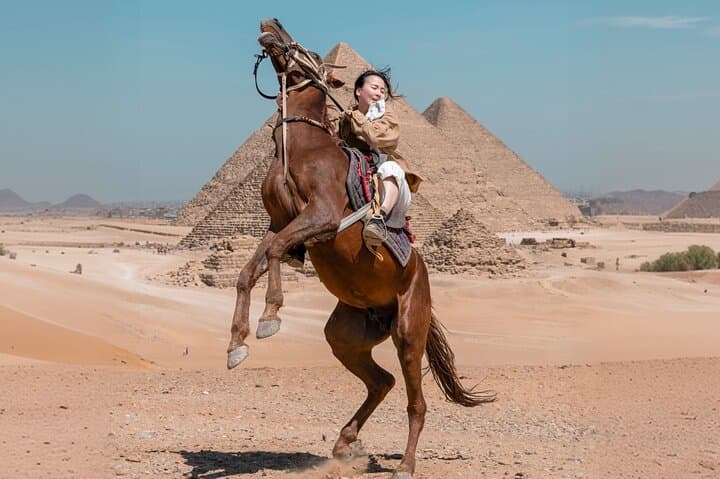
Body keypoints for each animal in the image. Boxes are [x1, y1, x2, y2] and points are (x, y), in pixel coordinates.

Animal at [226, 18, 495, 479]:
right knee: (381, 380)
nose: (270, 24)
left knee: (416, 401)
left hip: (408, 327)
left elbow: (276, 252)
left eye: (313, 52)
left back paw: (406, 463)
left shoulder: (323, 218)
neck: (303, 146)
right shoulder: (278, 222)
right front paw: (237, 343)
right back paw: (344, 440)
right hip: (348, 334)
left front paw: (270, 317)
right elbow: (249, 269)